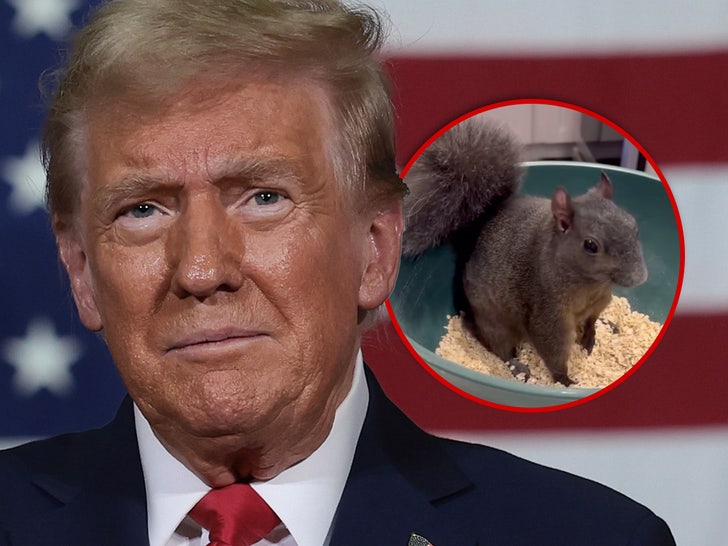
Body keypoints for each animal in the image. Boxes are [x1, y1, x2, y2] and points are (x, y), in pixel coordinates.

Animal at [402, 117, 648, 386]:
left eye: (633, 225)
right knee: (501, 349)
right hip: (495, 321)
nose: (640, 277)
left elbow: (591, 319)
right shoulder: (547, 312)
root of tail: (476, 233)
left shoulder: (601, 299)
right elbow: (553, 349)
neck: (588, 283)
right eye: (591, 245)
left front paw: (590, 335)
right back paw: (517, 366)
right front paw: (565, 380)